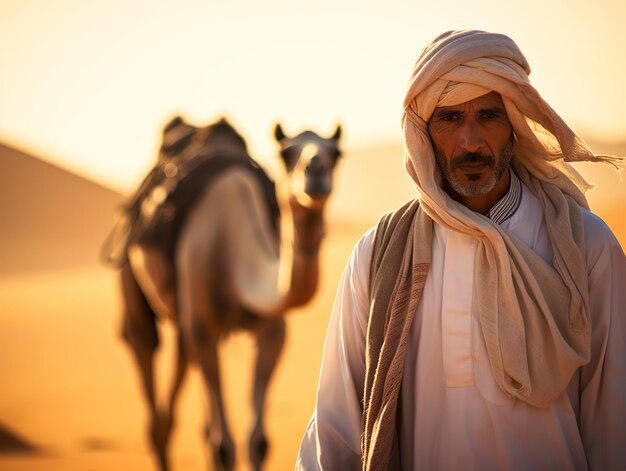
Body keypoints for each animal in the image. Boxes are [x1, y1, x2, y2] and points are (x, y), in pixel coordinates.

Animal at [109, 116, 338, 470]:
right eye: (285, 154)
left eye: (337, 153)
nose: (315, 169)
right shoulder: (205, 328)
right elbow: (223, 447)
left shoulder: (273, 332)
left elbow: (257, 441)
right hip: (131, 276)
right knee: (143, 342)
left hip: (185, 321)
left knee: (182, 366)